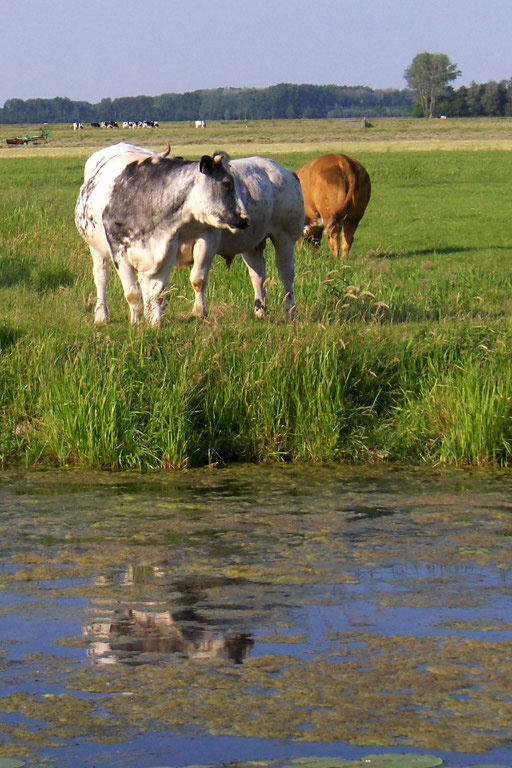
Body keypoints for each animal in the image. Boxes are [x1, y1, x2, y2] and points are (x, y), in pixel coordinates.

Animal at [76, 142, 304, 324]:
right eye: (227, 183)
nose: (245, 219)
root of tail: (283, 170)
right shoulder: (122, 251)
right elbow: (135, 292)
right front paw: (140, 322)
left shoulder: (197, 242)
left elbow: (192, 280)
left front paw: (195, 313)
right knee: (101, 277)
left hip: (285, 237)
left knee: (284, 272)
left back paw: (289, 311)